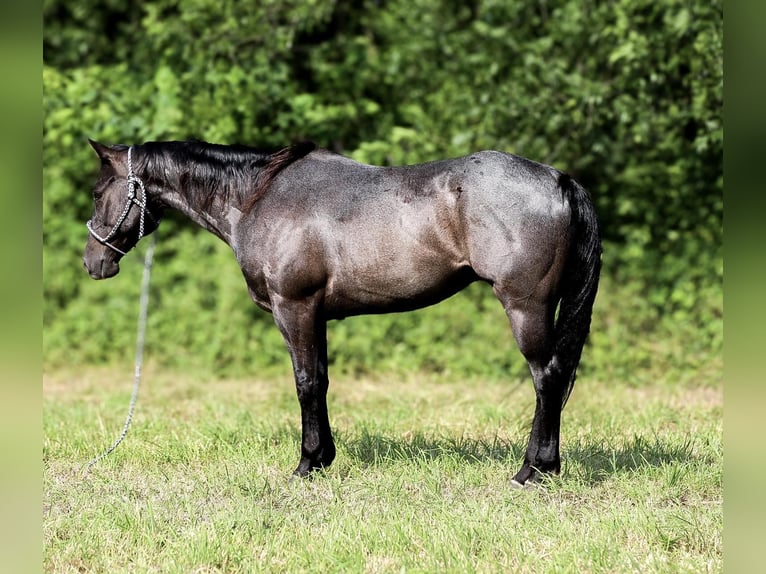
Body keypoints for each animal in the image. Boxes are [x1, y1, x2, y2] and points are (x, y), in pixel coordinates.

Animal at [82, 138, 601, 487]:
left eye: (97, 192)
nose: (93, 262)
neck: (259, 198)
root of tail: (559, 180)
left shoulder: (294, 308)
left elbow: (306, 383)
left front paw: (306, 464)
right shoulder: (316, 315)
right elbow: (322, 381)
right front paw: (323, 458)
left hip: (526, 307)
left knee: (547, 378)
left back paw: (533, 471)